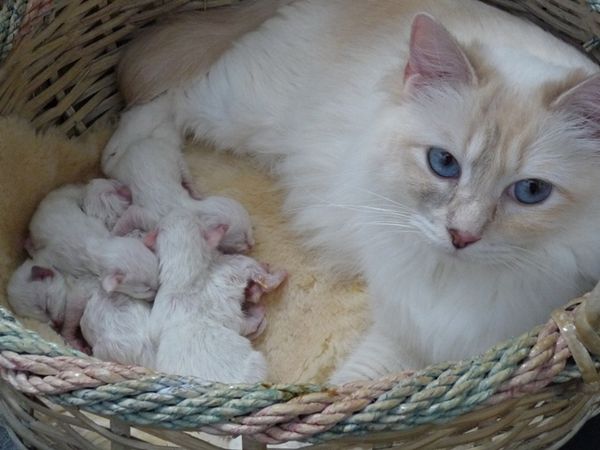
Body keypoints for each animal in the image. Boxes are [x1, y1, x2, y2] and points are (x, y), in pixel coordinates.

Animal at [147, 209, 284, 382]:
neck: (183, 272)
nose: (179, 211)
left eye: (159, 228)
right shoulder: (236, 264)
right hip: (257, 362)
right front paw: (275, 274)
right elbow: (261, 276)